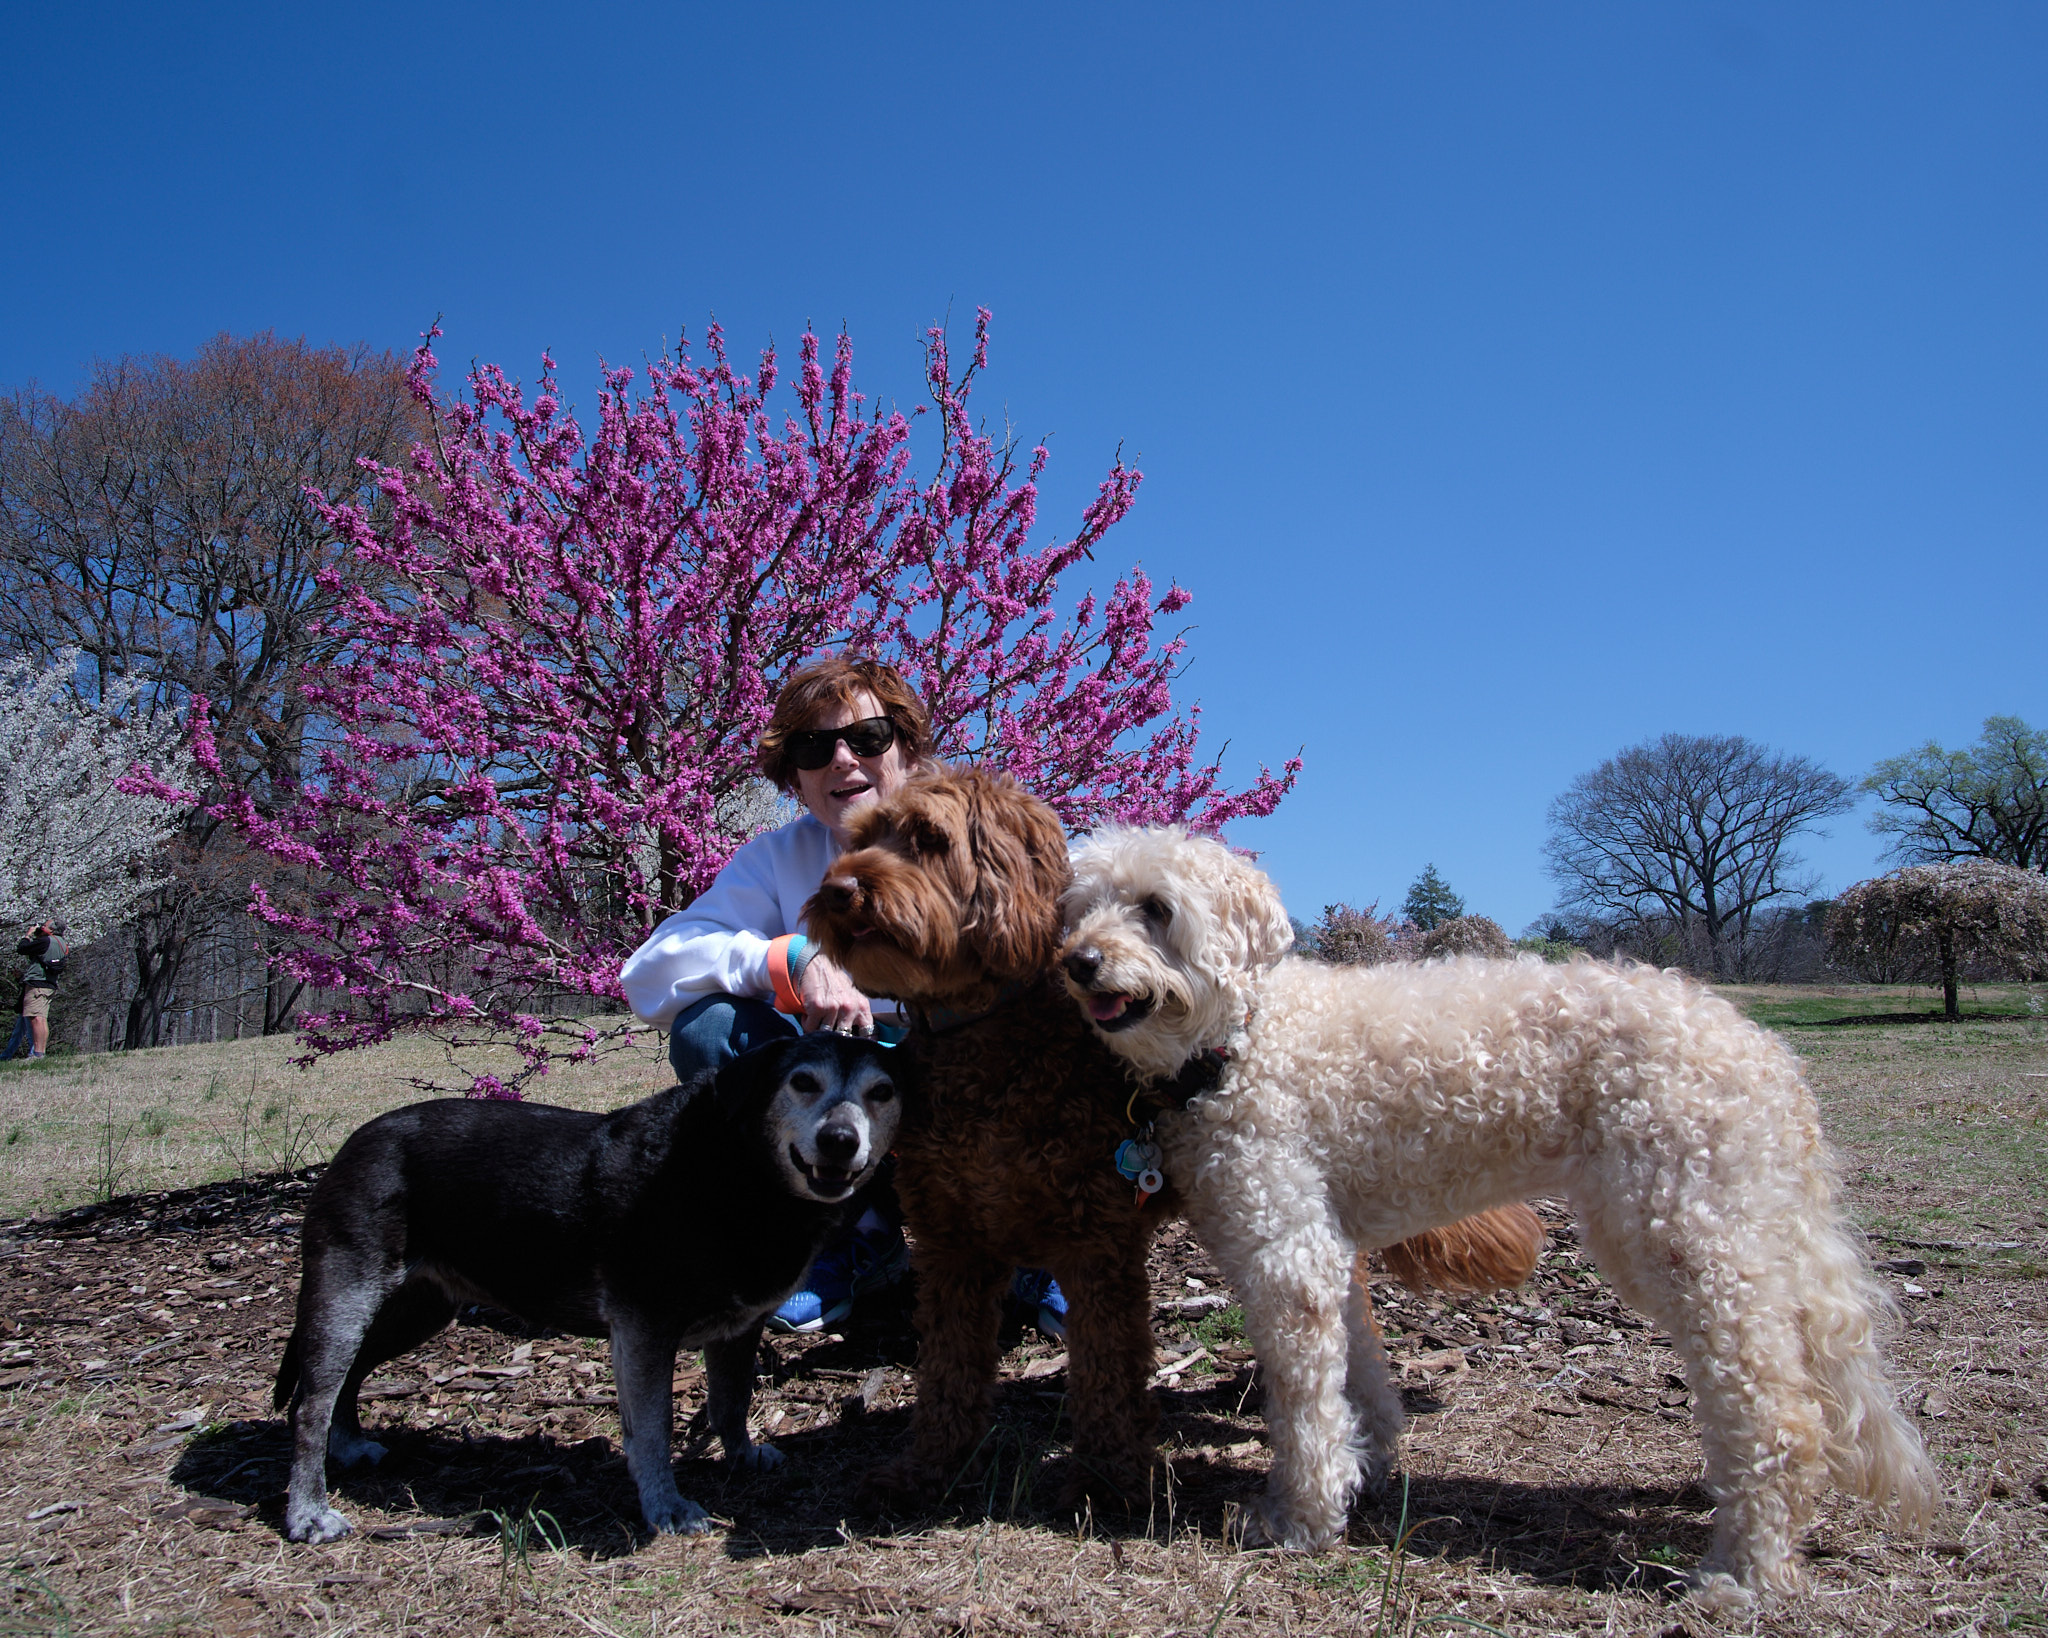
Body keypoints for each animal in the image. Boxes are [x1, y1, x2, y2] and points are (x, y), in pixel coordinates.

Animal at [276, 1031, 901, 1539]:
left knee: (347, 1378)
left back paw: (348, 1446)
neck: (736, 1171)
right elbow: (650, 1431)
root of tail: (351, 1145)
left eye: (882, 1092)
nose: (841, 1139)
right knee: (309, 1404)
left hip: (419, 1306)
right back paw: (308, 1513)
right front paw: (667, 1508)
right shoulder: (644, 1330)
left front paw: (741, 1457)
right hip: (347, 1295)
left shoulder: (739, 1328)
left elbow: (731, 1402)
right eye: (802, 1082)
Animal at [806, 769, 1540, 1506]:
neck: (984, 1038)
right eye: (862, 837)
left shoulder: (1096, 1242)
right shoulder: (951, 1242)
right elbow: (948, 1370)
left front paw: (1110, 1482)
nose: (839, 890)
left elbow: (1107, 1370)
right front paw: (929, 1468)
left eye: (929, 839)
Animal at [1056, 818, 1933, 1597]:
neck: (1245, 1035)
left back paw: (1743, 1570)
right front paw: (1368, 1465)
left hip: (1681, 1235)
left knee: (1778, 1410)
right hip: (1734, 1230)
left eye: (1157, 907)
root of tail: (1766, 1054)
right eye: (1078, 909)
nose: (1077, 962)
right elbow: (1360, 1374)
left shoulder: (1286, 1255)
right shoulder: (1329, 1247)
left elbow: (1304, 1406)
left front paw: (1299, 1518)